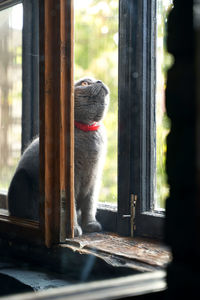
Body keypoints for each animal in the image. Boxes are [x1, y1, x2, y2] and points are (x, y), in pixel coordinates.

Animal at [7, 77, 109, 237]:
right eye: (85, 83)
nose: (99, 81)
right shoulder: (71, 179)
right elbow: (70, 206)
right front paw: (73, 229)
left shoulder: (94, 179)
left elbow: (90, 205)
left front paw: (90, 225)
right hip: (22, 178)